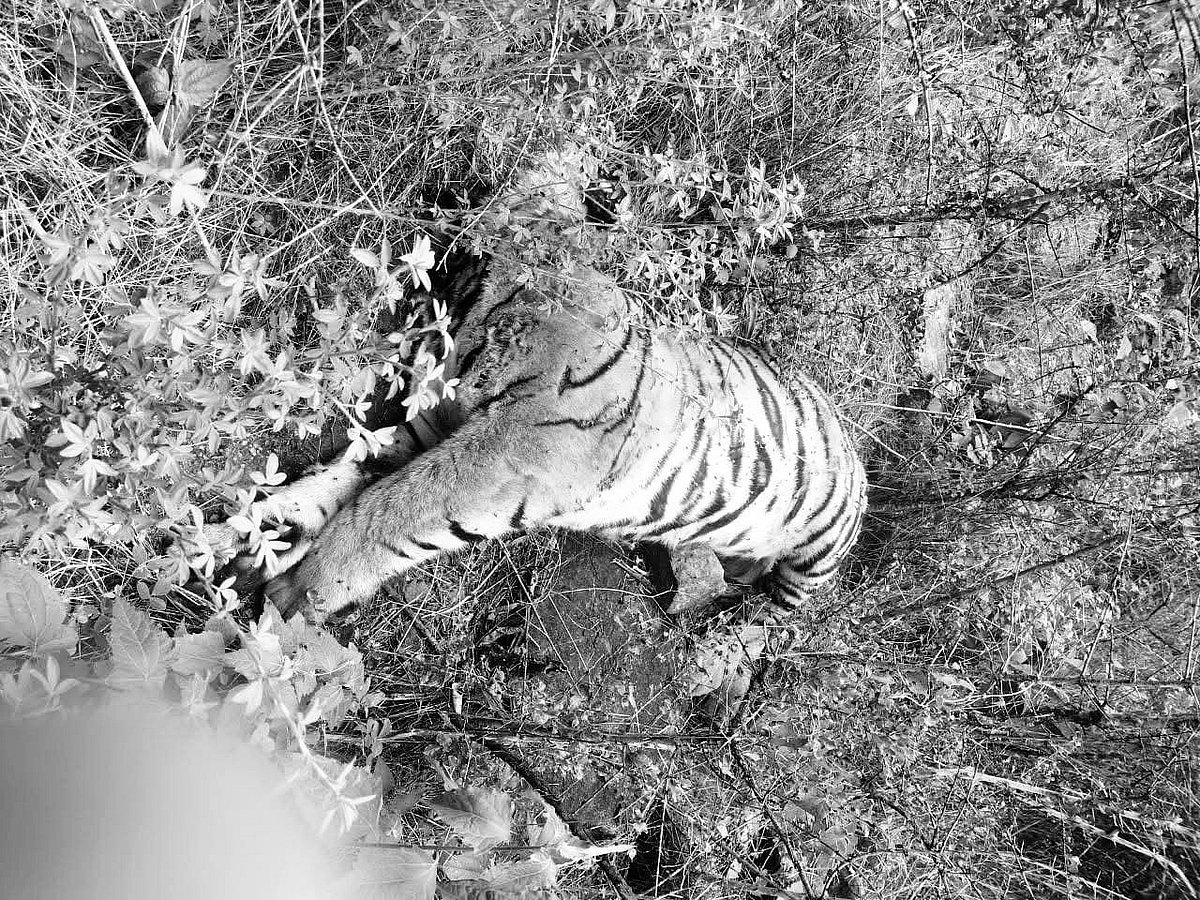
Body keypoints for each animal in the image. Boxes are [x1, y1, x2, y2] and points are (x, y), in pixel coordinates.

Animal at [203, 153, 867, 624]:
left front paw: (298, 591)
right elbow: (347, 476)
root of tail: (850, 437)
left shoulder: (503, 457)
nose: (440, 193)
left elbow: (384, 512)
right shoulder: (434, 424)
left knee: (774, 612)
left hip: (813, 561)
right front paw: (248, 531)